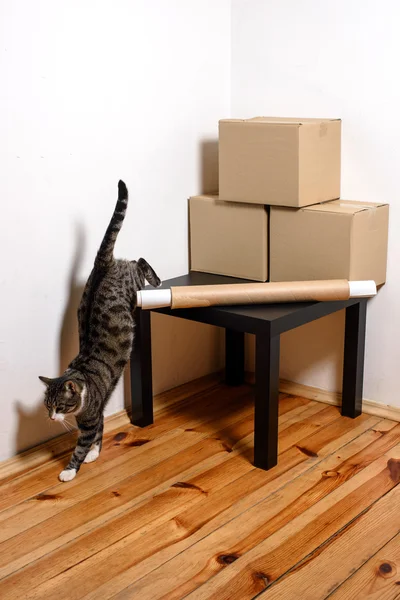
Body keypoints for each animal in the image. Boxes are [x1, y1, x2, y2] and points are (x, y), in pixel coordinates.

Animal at [39, 180, 160, 480]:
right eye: (47, 406)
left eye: (60, 406)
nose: (52, 418)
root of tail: (102, 264)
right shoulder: (100, 410)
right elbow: (102, 428)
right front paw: (95, 453)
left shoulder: (90, 418)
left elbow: (83, 444)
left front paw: (71, 469)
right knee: (135, 259)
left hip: (133, 286)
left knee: (139, 263)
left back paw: (157, 279)